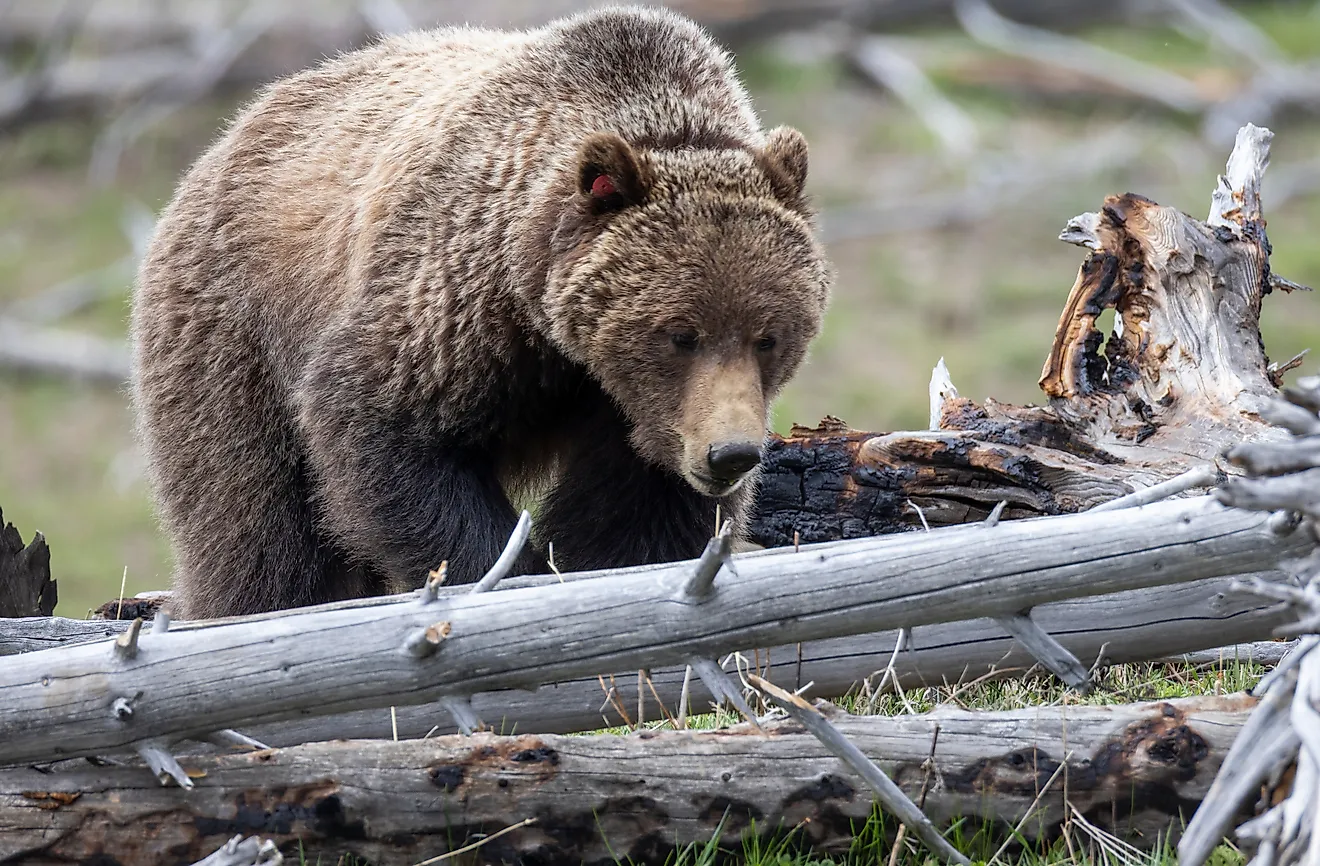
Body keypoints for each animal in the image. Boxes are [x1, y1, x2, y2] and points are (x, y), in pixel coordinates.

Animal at [130, 5, 833, 620]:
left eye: (769, 336)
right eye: (681, 333)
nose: (730, 454)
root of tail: (225, 141)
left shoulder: (638, 416)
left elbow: (642, 514)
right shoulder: (461, 302)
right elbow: (381, 420)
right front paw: (497, 575)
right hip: (234, 327)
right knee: (257, 522)